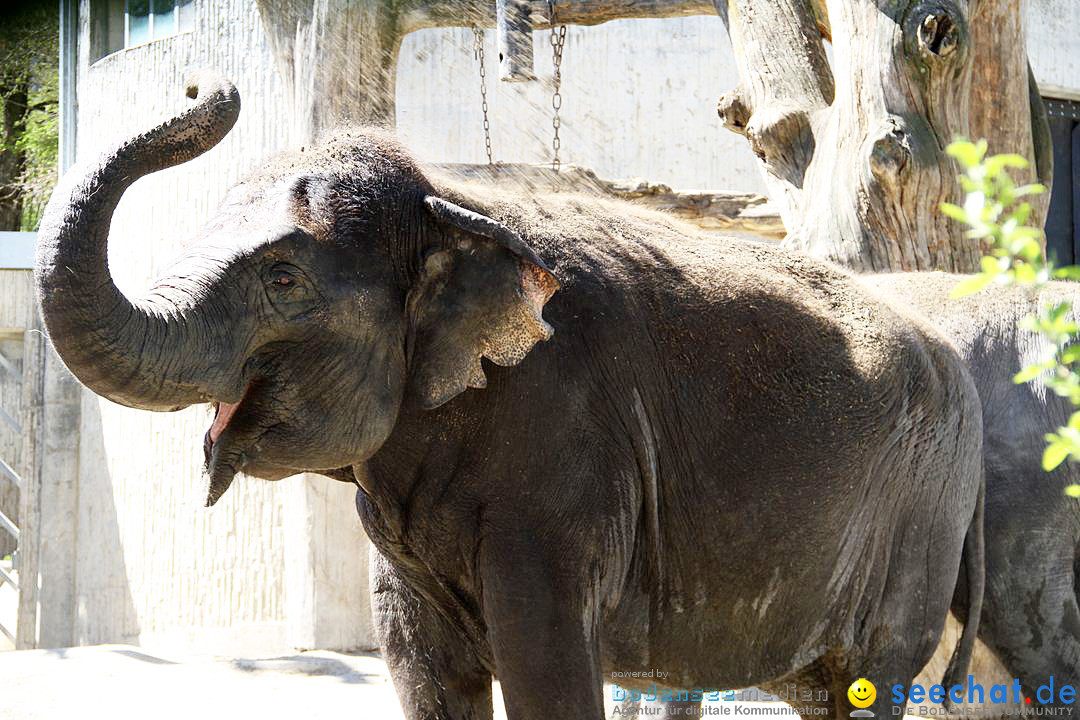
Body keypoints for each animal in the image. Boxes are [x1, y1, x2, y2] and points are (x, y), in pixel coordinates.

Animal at [33, 74, 984, 720]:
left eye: (282, 277)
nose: (206, 89)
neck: (447, 201)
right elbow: (423, 674)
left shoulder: (564, 465)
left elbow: (545, 670)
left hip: (919, 521)